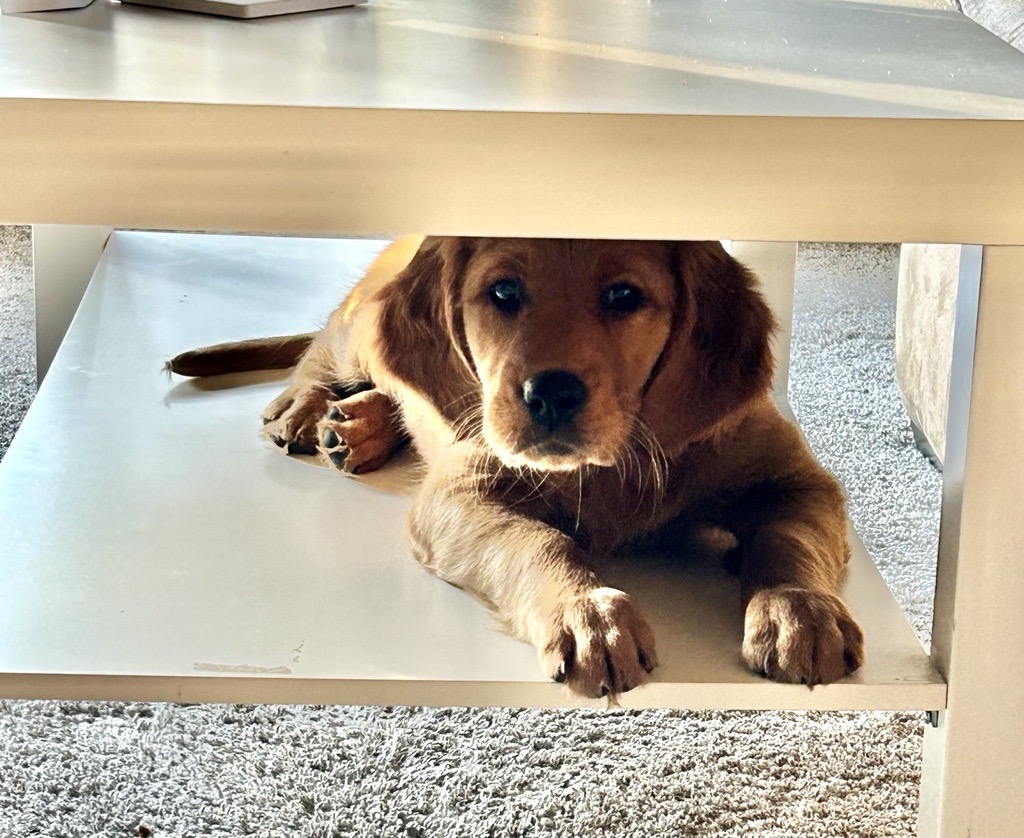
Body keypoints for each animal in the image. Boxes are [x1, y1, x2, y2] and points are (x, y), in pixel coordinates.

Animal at [172, 233, 860, 692]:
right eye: (503, 291)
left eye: (624, 295)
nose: (549, 394)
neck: (612, 465)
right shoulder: (459, 490)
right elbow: (539, 541)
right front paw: (589, 614)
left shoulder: (799, 480)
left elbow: (790, 539)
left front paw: (799, 611)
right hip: (358, 330)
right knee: (324, 349)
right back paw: (307, 406)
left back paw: (358, 427)